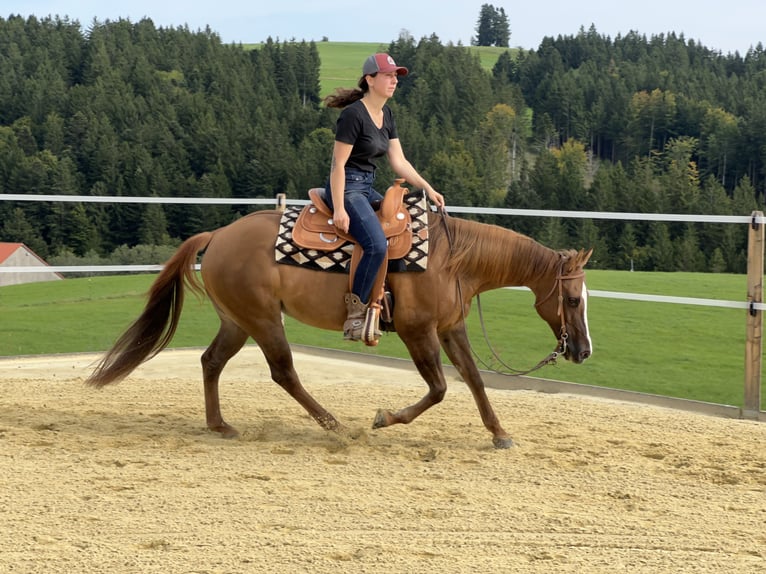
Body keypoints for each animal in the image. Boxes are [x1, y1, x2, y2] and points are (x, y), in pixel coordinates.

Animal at [86, 207, 593, 449]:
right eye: (571, 299)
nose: (584, 351)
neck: (452, 260)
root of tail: (219, 235)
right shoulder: (417, 331)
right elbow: (439, 389)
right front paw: (385, 418)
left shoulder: (452, 329)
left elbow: (473, 380)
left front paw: (499, 433)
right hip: (263, 319)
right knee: (283, 372)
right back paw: (334, 424)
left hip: (237, 321)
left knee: (211, 361)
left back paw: (220, 425)